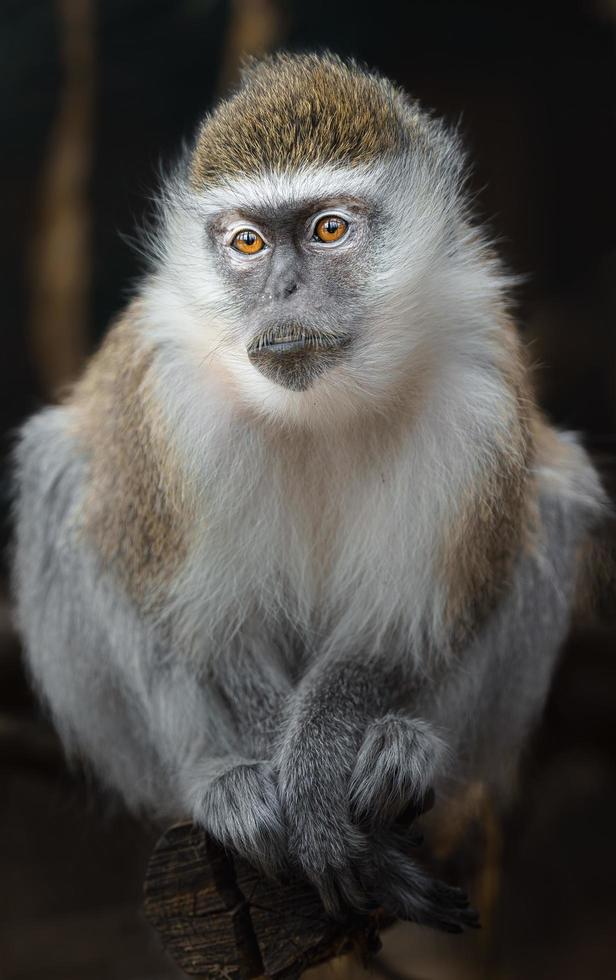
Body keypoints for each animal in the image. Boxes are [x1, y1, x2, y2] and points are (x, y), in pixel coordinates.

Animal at [9, 55, 608, 936]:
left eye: (329, 229)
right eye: (248, 242)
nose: (284, 292)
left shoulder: (478, 389)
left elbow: (409, 623)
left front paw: (320, 780)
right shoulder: (168, 405)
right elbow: (203, 623)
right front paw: (281, 785)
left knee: (553, 505)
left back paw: (402, 753)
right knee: (66, 485)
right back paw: (222, 782)